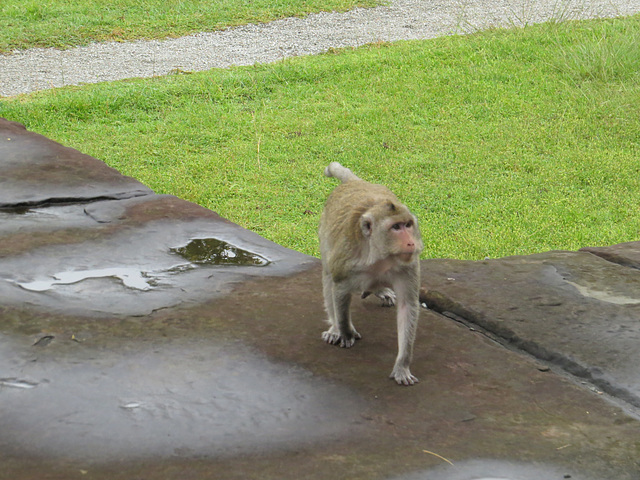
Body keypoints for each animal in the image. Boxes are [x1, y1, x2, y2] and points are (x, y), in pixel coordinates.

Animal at [318, 163, 422, 384]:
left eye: (408, 225)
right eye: (396, 227)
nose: (411, 242)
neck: (379, 255)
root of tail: (355, 182)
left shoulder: (408, 265)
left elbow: (407, 306)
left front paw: (402, 366)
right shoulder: (348, 259)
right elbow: (339, 289)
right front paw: (345, 332)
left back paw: (379, 289)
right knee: (328, 276)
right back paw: (335, 328)